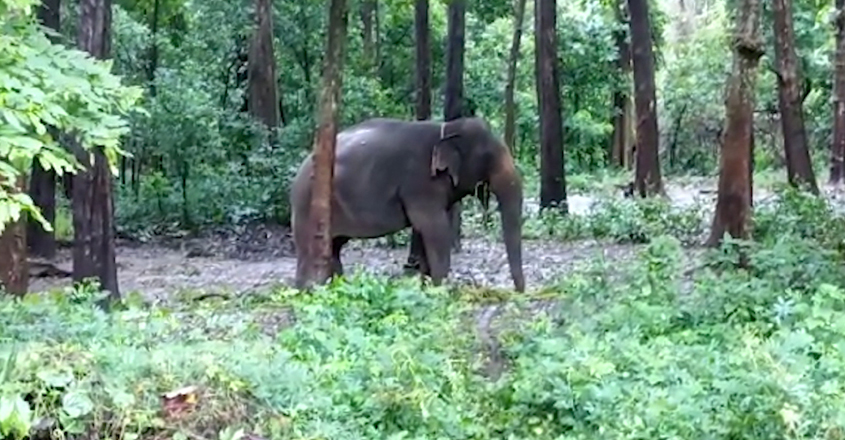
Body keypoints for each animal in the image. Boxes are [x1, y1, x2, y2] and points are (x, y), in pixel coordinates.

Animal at [289, 116, 525, 292]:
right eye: (488, 156)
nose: (519, 292)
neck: (446, 129)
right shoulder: (419, 183)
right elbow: (434, 228)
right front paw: (440, 290)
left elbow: (425, 231)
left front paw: (426, 287)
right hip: (307, 207)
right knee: (310, 252)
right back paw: (305, 291)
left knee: (334, 248)